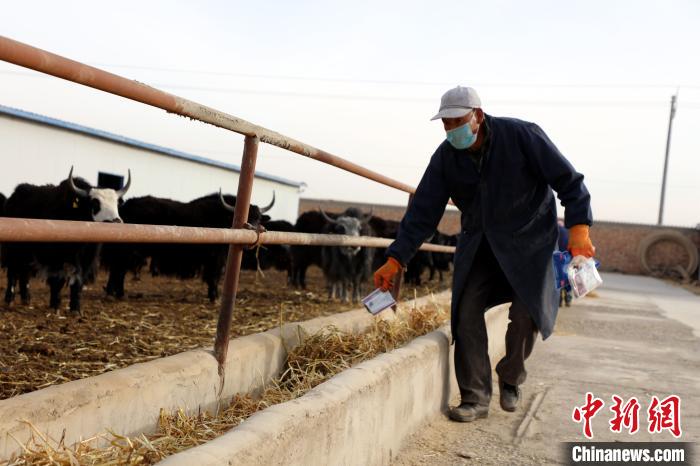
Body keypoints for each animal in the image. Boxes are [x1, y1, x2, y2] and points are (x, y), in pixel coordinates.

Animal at [2, 167, 131, 311]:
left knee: (24, 272)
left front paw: (75, 308)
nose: (116, 222)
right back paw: (9, 300)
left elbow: (78, 281)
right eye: (95, 202)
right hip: (13, 249)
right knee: (13, 272)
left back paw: (26, 298)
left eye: (116, 203)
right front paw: (55, 305)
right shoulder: (55, 258)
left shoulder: (86, 259)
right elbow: (57, 280)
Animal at [102, 191, 275, 302]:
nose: (254, 230)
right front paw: (214, 297)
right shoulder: (215, 259)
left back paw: (115, 293)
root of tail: (127, 205)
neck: (223, 219)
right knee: (119, 269)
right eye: (246, 217)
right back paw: (116, 293)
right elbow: (213, 276)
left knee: (118, 270)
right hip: (128, 251)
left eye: (258, 217)